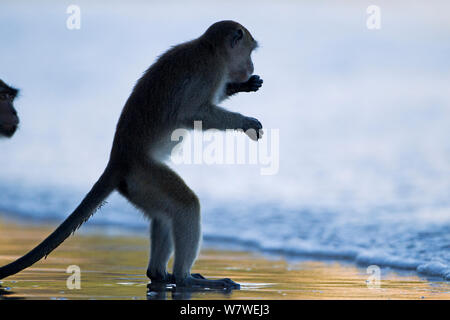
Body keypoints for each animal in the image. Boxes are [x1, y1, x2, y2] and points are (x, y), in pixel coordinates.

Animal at [0, 20, 264, 290]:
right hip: (142, 173)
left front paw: (241, 86)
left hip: (137, 185)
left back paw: (160, 274)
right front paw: (245, 122)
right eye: (249, 53)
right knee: (186, 205)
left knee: (165, 214)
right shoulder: (209, 73)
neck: (209, 49)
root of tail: (118, 158)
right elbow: (193, 113)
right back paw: (185, 278)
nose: (251, 67)